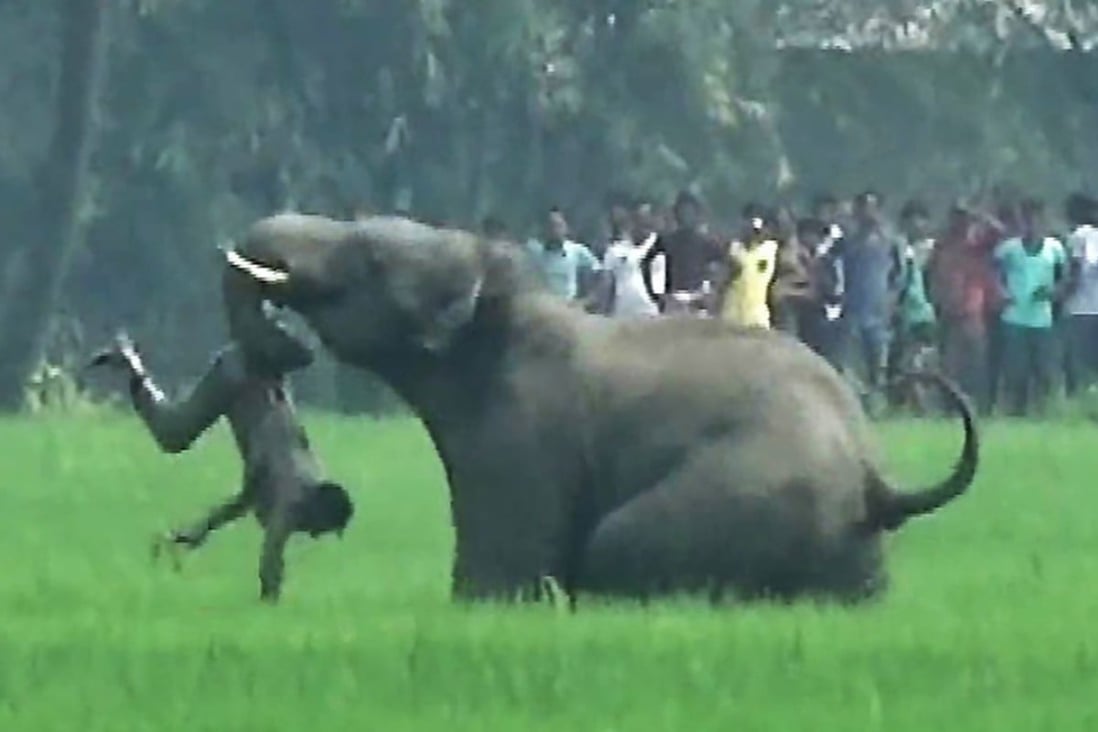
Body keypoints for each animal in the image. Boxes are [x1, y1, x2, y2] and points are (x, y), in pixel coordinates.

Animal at [221, 212, 979, 605]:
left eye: (370, 259)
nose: (285, 350)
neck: (501, 302)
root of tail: (879, 484)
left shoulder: (520, 435)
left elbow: (503, 573)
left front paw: (485, 601)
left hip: (749, 493)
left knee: (617, 543)